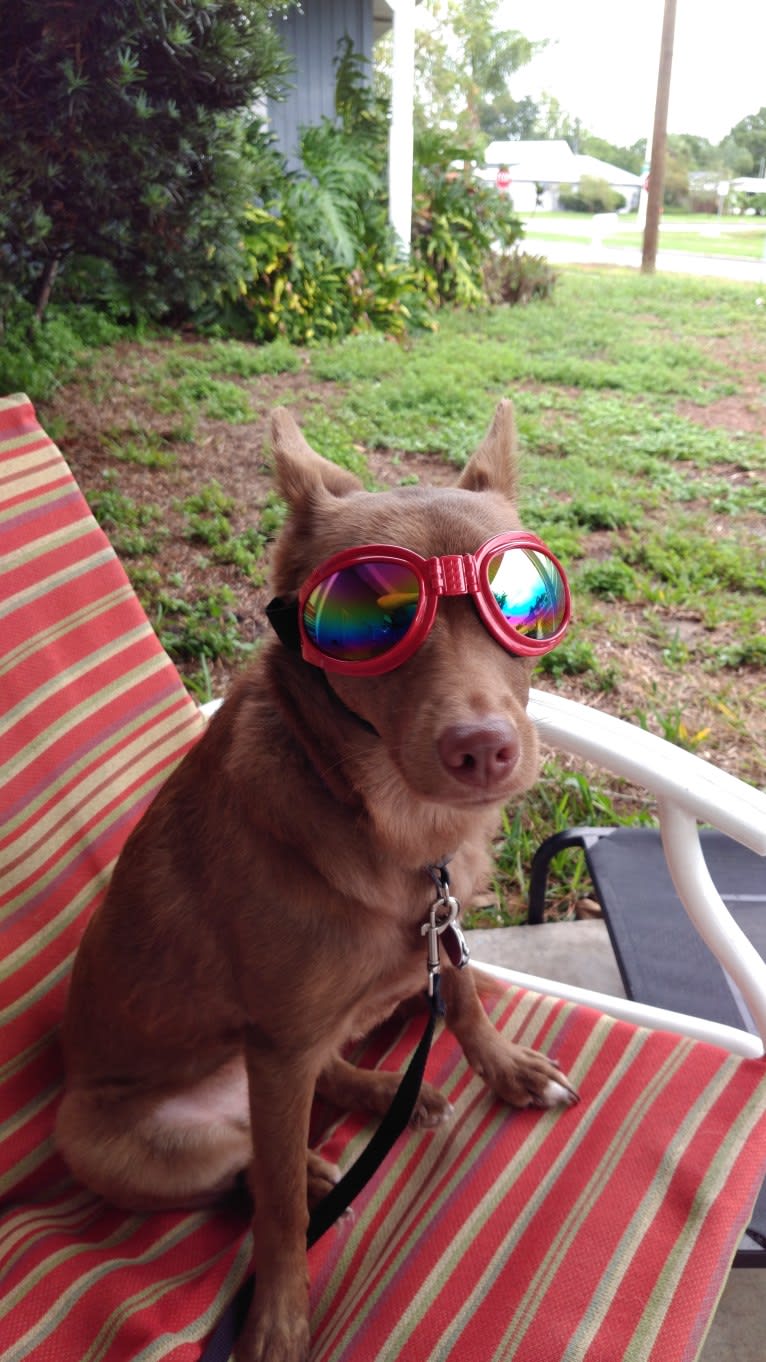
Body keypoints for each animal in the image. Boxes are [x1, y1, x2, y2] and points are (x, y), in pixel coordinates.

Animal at [56, 400, 575, 1362]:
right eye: (368, 616)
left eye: (525, 603)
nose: (484, 749)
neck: (399, 830)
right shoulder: (281, 1043)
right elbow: (281, 1213)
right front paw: (281, 1318)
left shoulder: (439, 936)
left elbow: (468, 997)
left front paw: (507, 1069)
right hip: (113, 1138)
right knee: (250, 1167)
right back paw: (314, 1163)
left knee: (315, 1090)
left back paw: (383, 1097)